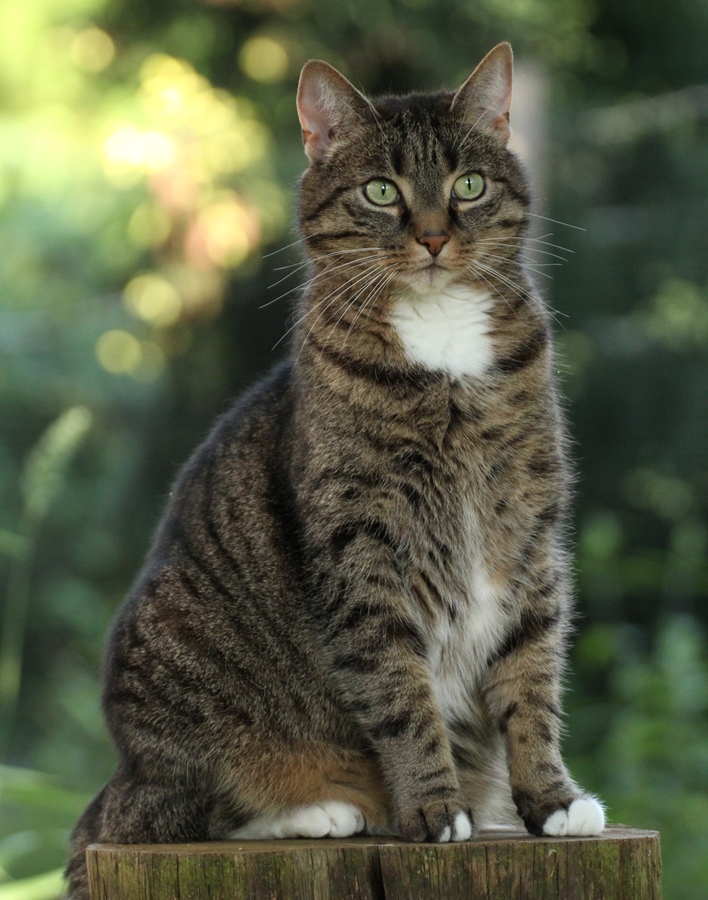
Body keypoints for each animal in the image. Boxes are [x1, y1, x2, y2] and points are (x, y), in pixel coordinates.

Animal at [65, 40, 604, 900]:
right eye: (381, 191)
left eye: (469, 184)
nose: (432, 238)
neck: (442, 339)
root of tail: (122, 774)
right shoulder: (362, 549)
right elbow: (400, 691)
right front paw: (435, 811)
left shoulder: (527, 534)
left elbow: (532, 678)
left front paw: (551, 802)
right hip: (182, 708)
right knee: (182, 814)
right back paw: (324, 809)